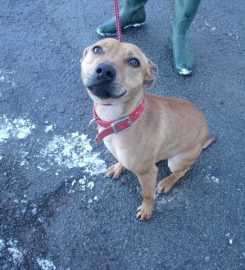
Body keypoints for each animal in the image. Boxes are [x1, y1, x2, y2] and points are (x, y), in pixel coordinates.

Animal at [81, 38, 217, 219]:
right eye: (97, 49)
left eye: (134, 62)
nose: (105, 70)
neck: (119, 119)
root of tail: (202, 142)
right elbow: (122, 161)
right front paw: (119, 167)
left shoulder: (148, 174)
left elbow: (147, 194)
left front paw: (147, 209)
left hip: (177, 161)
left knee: (183, 171)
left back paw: (167, 182)